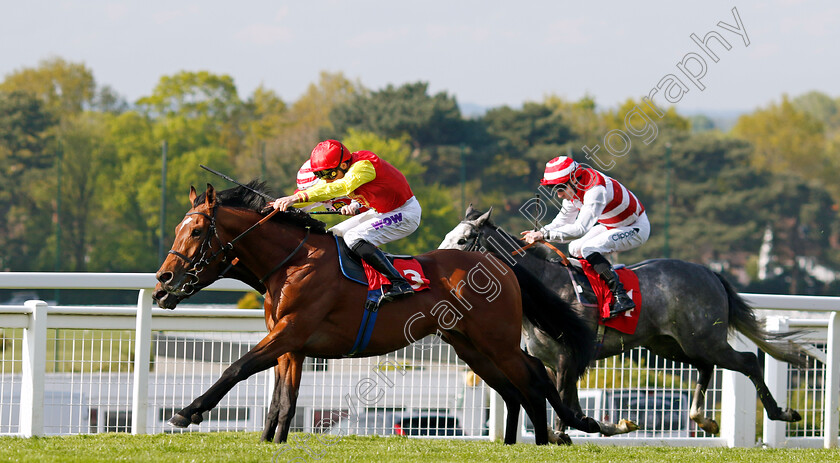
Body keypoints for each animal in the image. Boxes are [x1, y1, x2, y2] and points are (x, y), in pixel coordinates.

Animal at [154, 184, 600, 446]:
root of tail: (501, 264)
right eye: (177, 228)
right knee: (514, 388)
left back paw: (563, 431)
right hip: (470, 346)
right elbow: (283, 400)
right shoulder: (292, 346)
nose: (161, 282)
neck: (293, 261)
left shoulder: (290, 332)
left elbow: (237, 368)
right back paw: (528, 440)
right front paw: (270, 441)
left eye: (196, 232)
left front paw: (187, 412)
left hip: (496, 340)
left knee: (534, 374)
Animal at [440, 206, 808, 438]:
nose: (437, 263)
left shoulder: (567, 358)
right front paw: (602, 427)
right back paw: (703, 420)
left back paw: (781, 413)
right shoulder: (555, 362)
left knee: (747, 362)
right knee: (706, 367)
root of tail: (709, 272)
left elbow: (565, 406)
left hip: (703, 339)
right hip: (671, 344)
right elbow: (569, 404)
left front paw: (569, 433)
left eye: (463, 240)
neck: (549, 288)